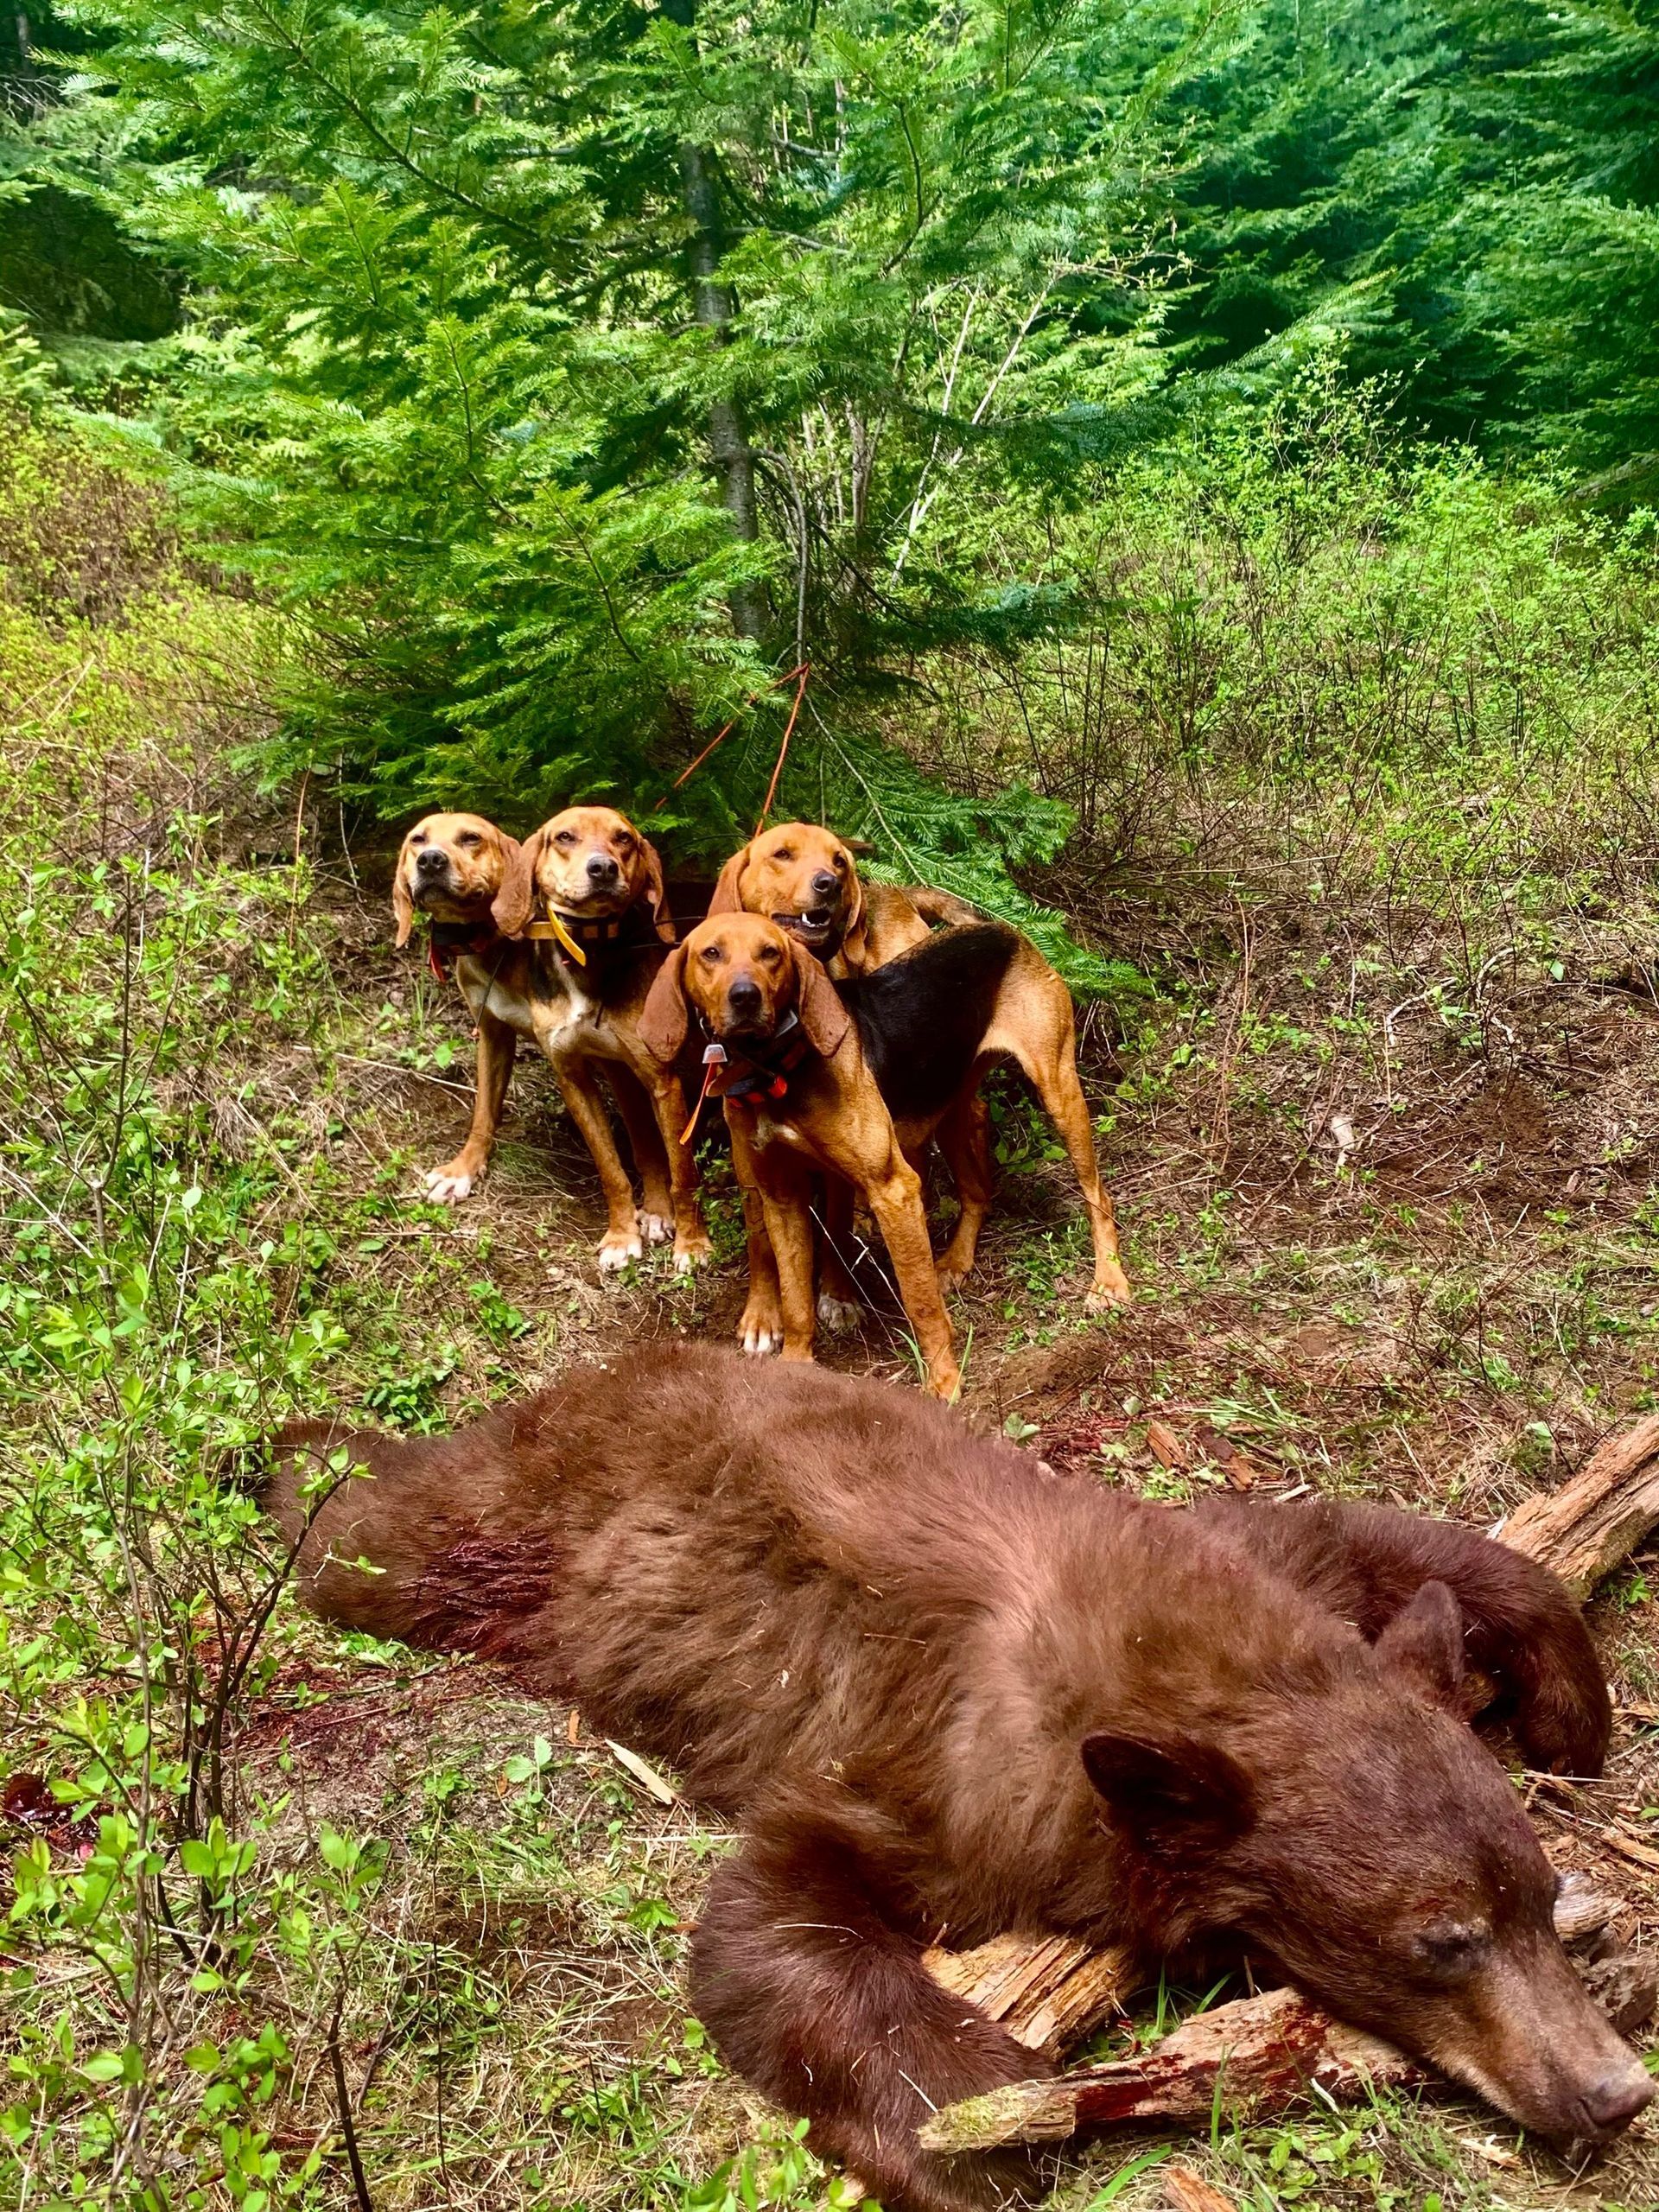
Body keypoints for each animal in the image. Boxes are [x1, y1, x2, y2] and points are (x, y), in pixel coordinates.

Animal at [267, 1342, 1649, 2212]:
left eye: (1539, 1898)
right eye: (1444, 1942)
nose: (1614, 2090)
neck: (1159, 1673)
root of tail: (596, 1374)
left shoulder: (1236, 1568)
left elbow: (1363, 1536)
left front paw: (1563, 1693)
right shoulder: (944, 1773)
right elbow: (777, 1906)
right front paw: (988, 2122)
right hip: (512, 1531)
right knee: (376, 1534)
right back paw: (300, 1448)